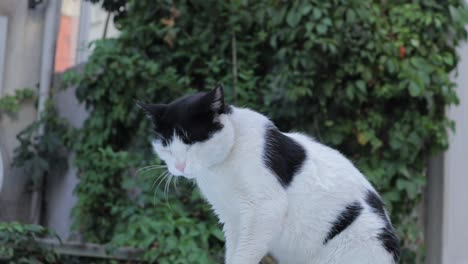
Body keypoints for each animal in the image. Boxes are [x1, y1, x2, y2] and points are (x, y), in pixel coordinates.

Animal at [138, 84, 398, 264]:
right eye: (166, 146)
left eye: (191, 141)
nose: (179, 167)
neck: (219, 170)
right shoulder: (232, 219)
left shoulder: (265, 210)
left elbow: (244, 254)